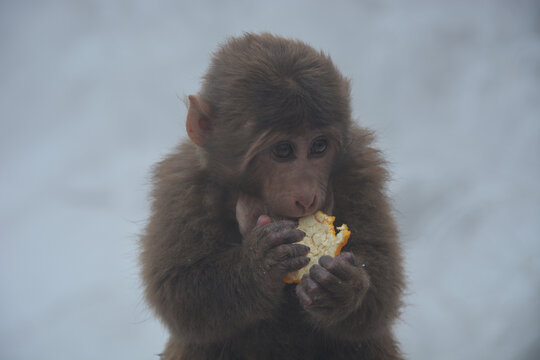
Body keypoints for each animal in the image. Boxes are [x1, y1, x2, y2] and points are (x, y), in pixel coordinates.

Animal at [141, 32, 402, 358]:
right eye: (283, 150)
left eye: (319, 146)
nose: (306, 196)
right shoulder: (180, 189)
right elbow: (178, 294)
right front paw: (257, 264)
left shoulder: (362, 172)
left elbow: (383, 288)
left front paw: (341, 288)